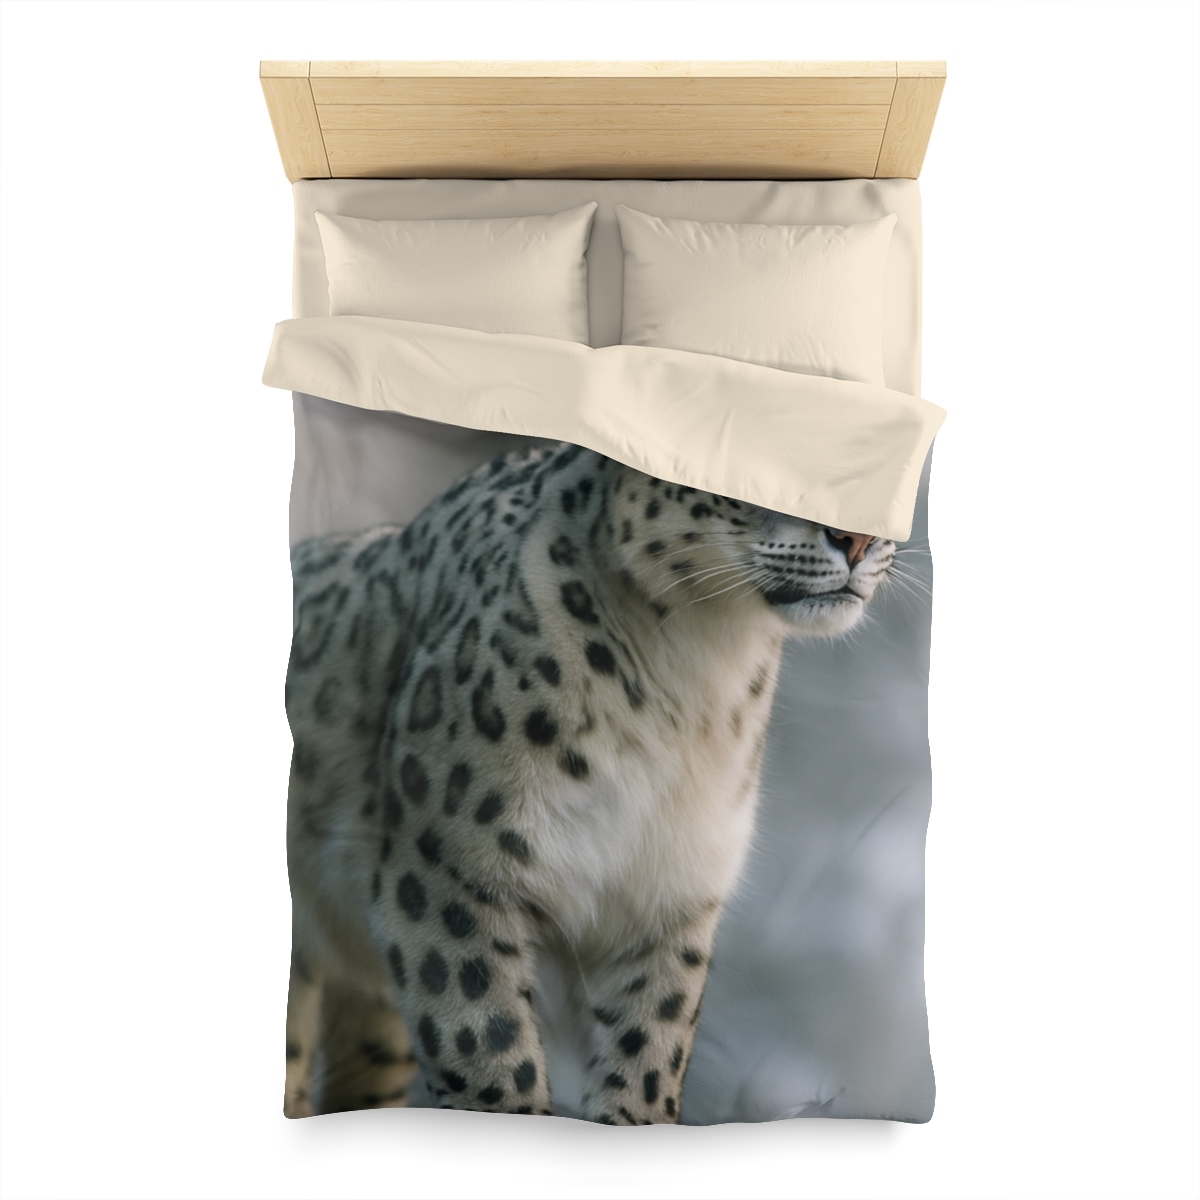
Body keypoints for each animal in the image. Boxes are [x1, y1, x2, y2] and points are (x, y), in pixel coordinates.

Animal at [283, 440, 893, 1124]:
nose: (857, 538)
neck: (699, 676)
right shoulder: (449, 873)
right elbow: (488, 1046)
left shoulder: (668, 897)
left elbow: (648, 1050)